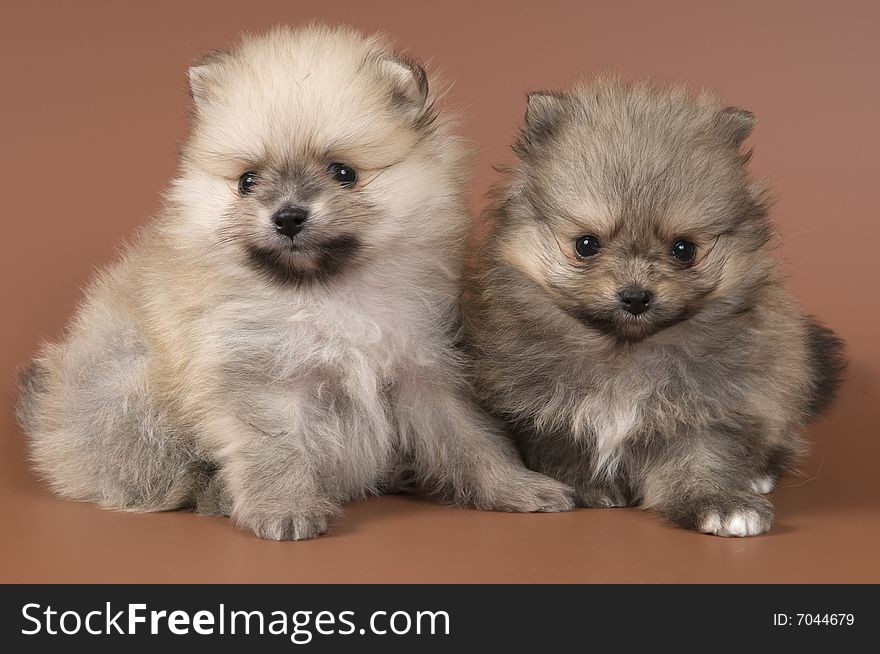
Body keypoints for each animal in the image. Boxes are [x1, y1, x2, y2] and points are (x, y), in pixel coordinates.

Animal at [18, 25, 576, 540]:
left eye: (343, 172)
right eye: (247, 181)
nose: (287, 216)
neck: (326, 292)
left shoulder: (425, 369)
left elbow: (471, 440)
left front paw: (517, 487)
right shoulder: (258, 375)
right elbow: (274, 447)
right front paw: (284, 509)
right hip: (127, 388)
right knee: (158, 476)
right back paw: (217, 496)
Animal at [460, 78, 844, 540]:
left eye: (684, 250)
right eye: (586, 245)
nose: (636, 296)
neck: (624, 356)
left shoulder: (709, 406)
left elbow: (701, 458)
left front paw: (719, 501)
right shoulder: (538, 406)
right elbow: (562, 441)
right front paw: (589, 485)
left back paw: (758, 474)